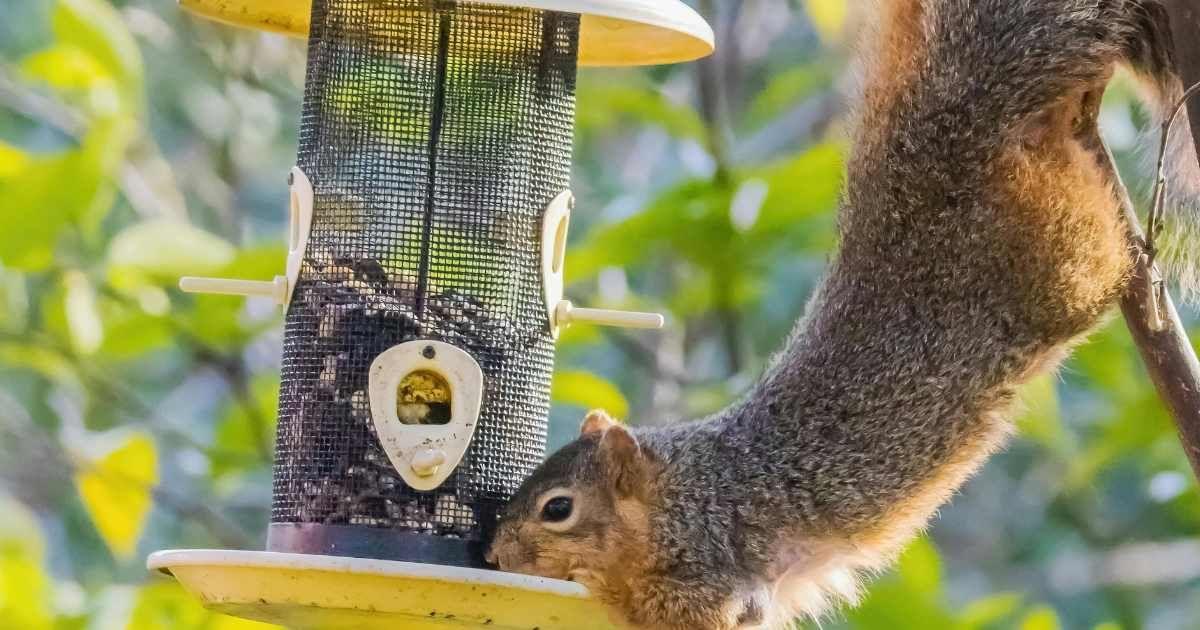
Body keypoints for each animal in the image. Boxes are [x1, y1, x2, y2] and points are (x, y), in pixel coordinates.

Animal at [486, 1, 1196, 628]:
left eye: (557, 509)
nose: (493, 554)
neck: (676, 495)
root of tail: (947, 134)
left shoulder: (710, 565)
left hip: (1058, 256)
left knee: (1094, 241)